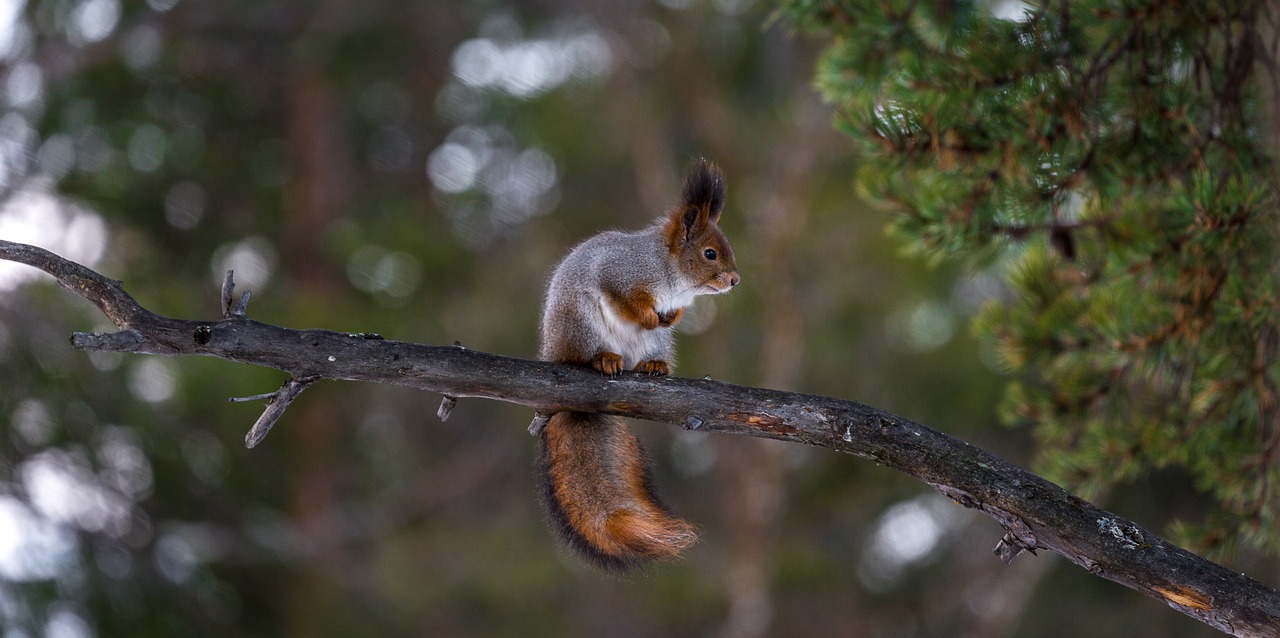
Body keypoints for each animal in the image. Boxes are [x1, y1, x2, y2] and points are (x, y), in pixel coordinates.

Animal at [535, 156, 742, 571]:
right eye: (710, 254)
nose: (735, 280)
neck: (671, 274)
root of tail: (553, 349)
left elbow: (673, 313)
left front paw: (671, 316)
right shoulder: (620, 274)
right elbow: (626, 299)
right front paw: (646, 314)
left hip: (654, 344)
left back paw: (654, 366)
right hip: (581, 324)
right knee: (587, 352)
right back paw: (604, 359)